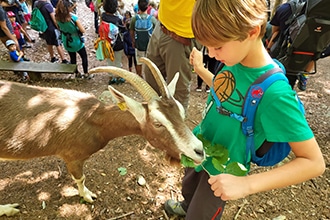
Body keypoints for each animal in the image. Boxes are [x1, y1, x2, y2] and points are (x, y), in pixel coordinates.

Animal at [0, 57, 205, 217]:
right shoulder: (71, 157)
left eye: (181, 111)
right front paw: (87, 196)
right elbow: (80, 178)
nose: (199, 151)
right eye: (157, 123)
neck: (92, 118)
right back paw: (8, 209)